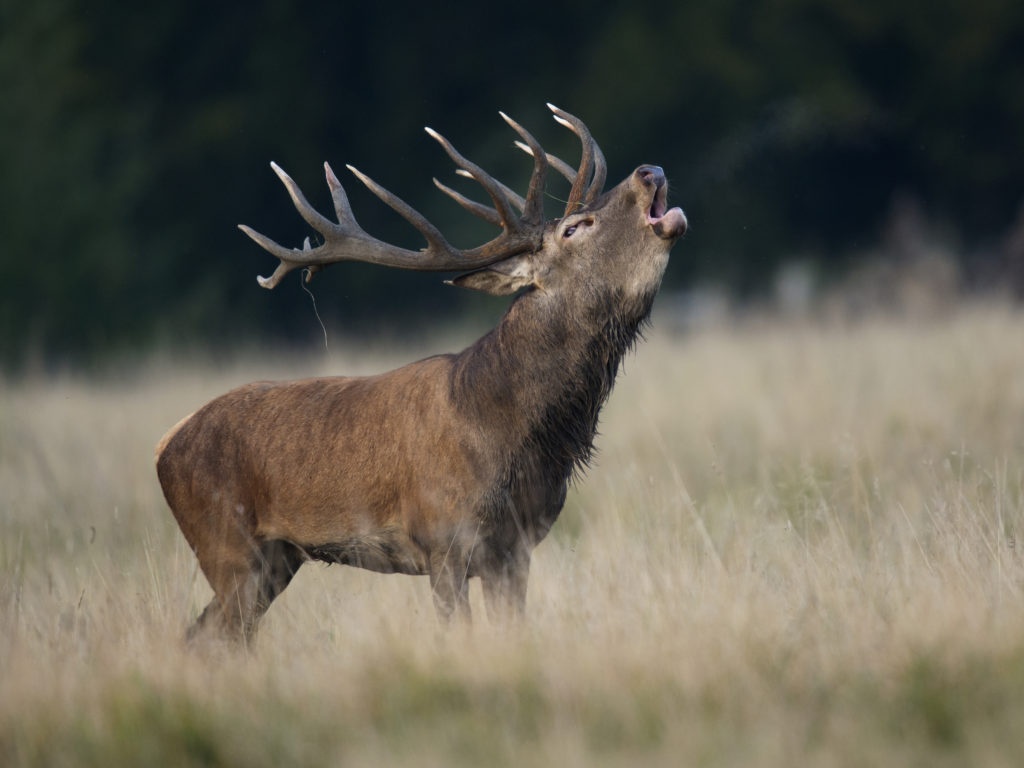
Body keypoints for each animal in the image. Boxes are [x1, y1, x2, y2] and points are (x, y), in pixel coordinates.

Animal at [155, 103, 688, 643]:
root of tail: (165, 444)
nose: (649, 171)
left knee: (205, 636)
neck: (513, 435)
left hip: (276, 559)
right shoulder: (444, 540)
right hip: (226, 547)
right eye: (573, 228)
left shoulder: (516, 549)